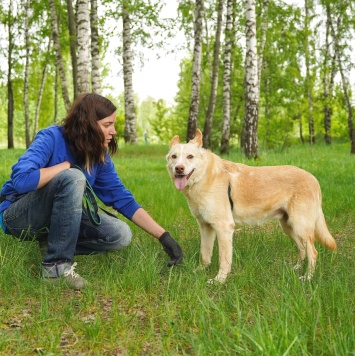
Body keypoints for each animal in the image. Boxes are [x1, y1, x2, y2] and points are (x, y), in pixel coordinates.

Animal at [167, 129, 336, 284]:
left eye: (190, 156)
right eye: (174, 157)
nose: (179, 168)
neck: (203, 177)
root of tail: (313, 178)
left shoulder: (224, 228)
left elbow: (224, 259)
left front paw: (220, 280)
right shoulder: (205, 227)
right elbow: (205, 254)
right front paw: (200, 271)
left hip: (300, 225)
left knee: (313, 252)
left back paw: (307, 277)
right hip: (289, 227)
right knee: (302, 248)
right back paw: (296, 268)